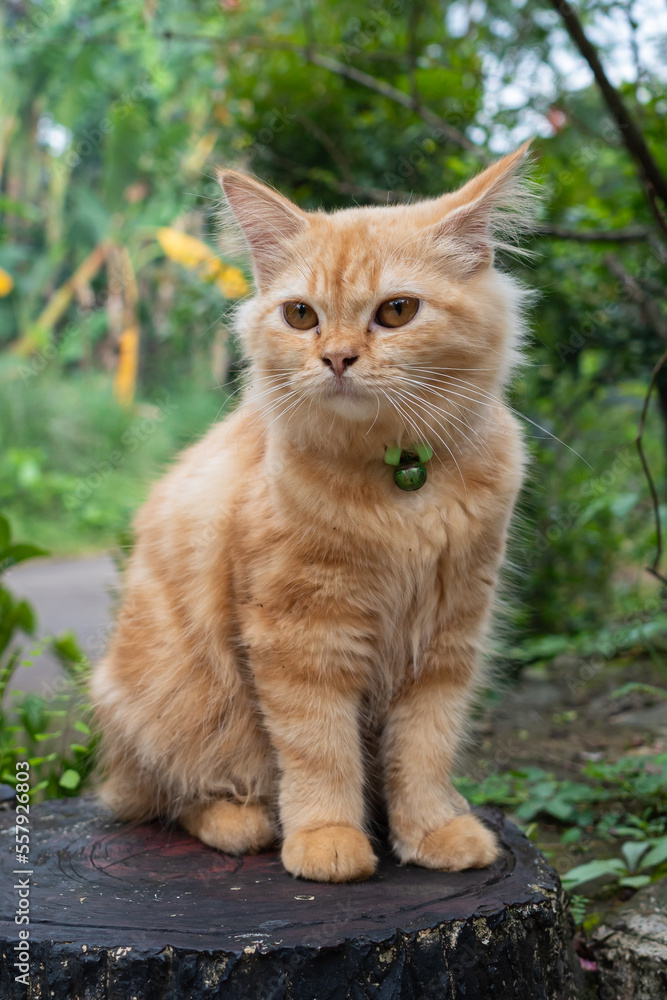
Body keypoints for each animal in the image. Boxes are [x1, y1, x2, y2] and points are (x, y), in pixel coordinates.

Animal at [90, 143, 532, 884]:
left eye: (397, 311)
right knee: (166, 797)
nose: (337, 358)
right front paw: (328, 840)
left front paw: (433, 832)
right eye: (301, 316)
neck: (399, 482)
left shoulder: (446, 637)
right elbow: (319, 751)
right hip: (170, 700)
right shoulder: (301, 637)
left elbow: (424, 751)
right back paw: (244, 823)